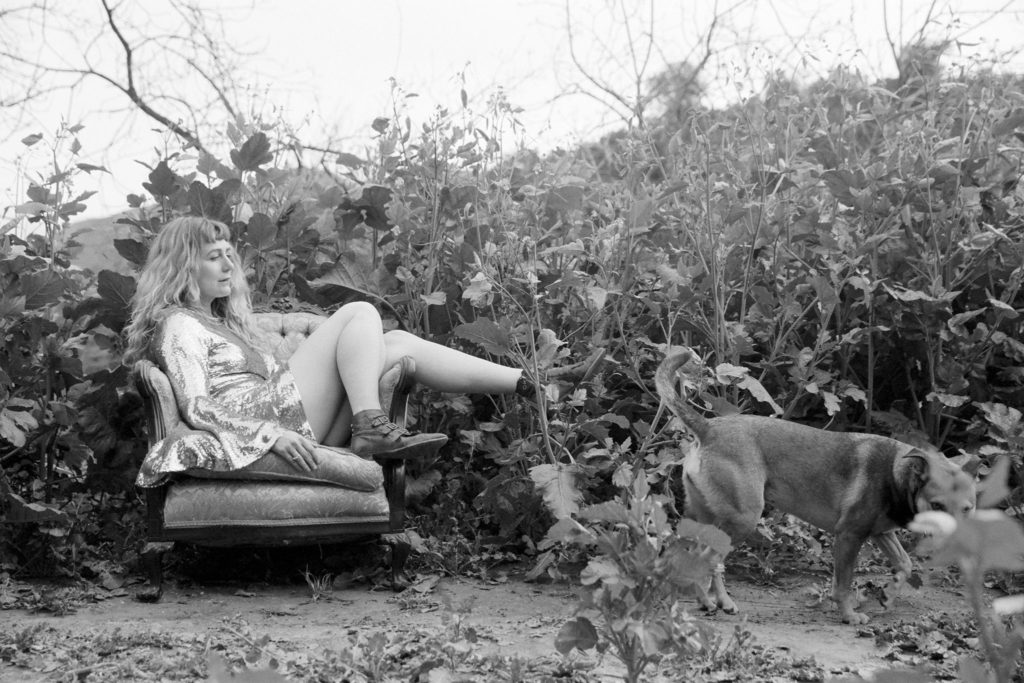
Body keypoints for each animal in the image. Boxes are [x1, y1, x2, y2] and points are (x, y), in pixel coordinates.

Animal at [655, 350, 974, 622]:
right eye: (937, 505)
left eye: (968, 509)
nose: (959, 542)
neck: (897, 473)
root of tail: (708, 428)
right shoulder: (849, 536)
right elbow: (843, 585)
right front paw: (849, 615)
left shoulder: (880, 533)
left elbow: (905, 564)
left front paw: (888, 594)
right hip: (743, 519)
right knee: (706, 560)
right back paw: (712, 602)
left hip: (707, 520)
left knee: (692, 558)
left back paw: (710, 601)